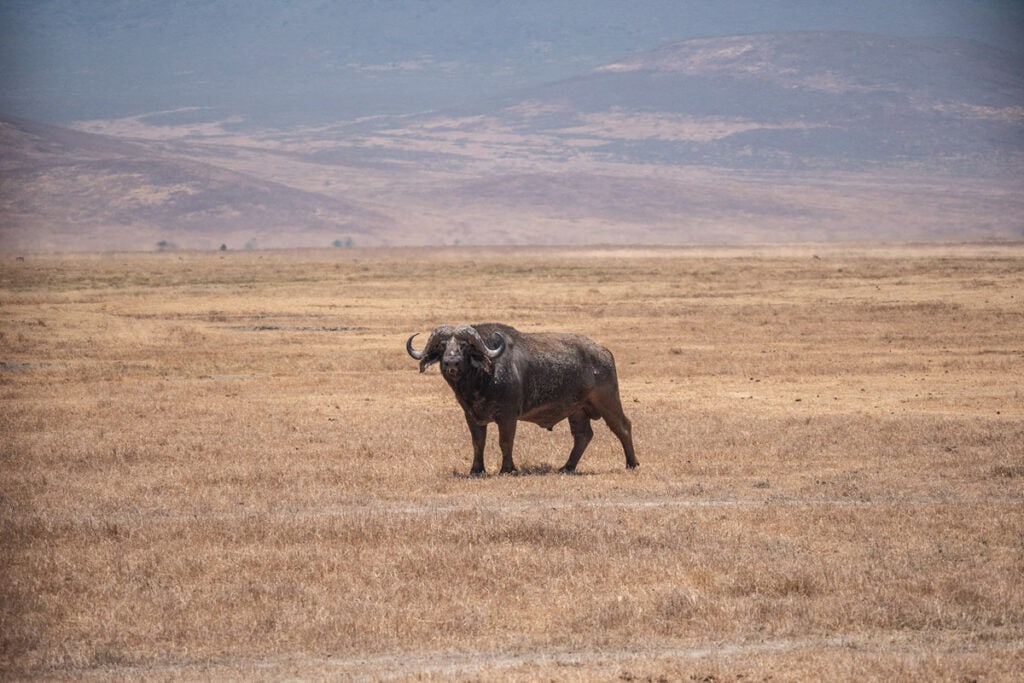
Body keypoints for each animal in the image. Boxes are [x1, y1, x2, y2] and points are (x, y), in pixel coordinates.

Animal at [403, 321, 634, 473]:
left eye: (464, 346)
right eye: (443, 346)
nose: (451, 362)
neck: (483, 378)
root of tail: (604, 352)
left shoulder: (507, 416)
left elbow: (505, 441)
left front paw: (507, 469)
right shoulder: (472, 416)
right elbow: (478, 443)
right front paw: (476, 470)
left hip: (608, 401)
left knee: (623, 426)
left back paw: (631, 463)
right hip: (577, 411)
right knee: (583, 436)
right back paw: (566, 467)